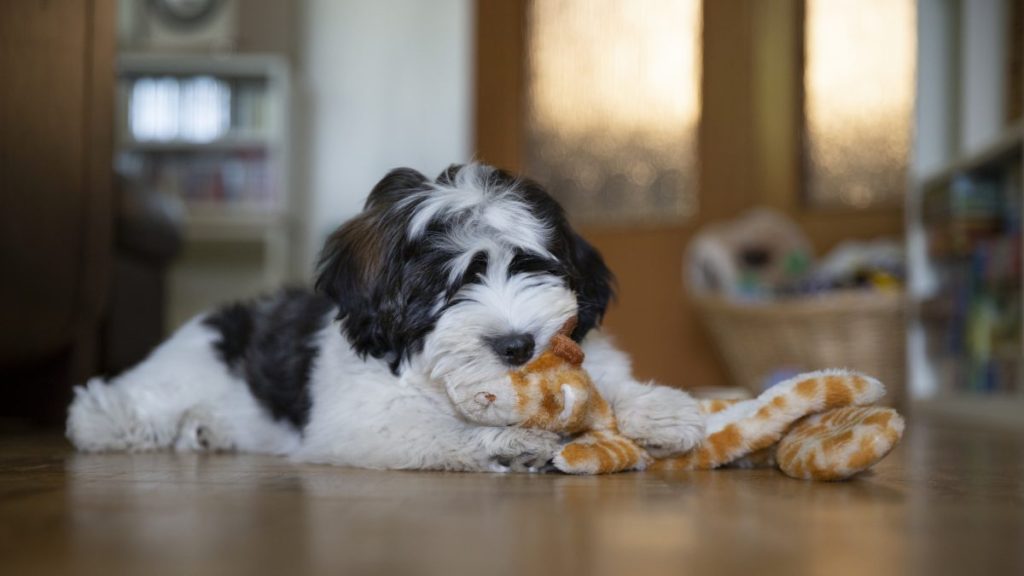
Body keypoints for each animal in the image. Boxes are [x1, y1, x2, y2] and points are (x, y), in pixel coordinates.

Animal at [66, 162, 704, 471]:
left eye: (529, 265)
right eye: (451, 284)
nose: (517, 345)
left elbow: (605, 383)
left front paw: (661, 410)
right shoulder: (361, 421)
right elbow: (436, 431)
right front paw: (505, 442)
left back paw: (208, 431)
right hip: (169, 382)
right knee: (112, 410)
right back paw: (124, 420)